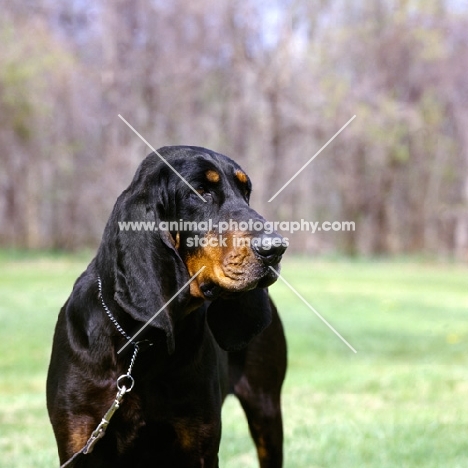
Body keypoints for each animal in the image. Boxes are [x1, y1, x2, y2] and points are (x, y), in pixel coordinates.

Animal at [48, 144, 288, 466]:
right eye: (200, 192)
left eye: (246, 192)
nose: (276, 249)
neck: (139, 343)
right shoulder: (78, 439)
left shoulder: (199, 441)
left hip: (266, 409)